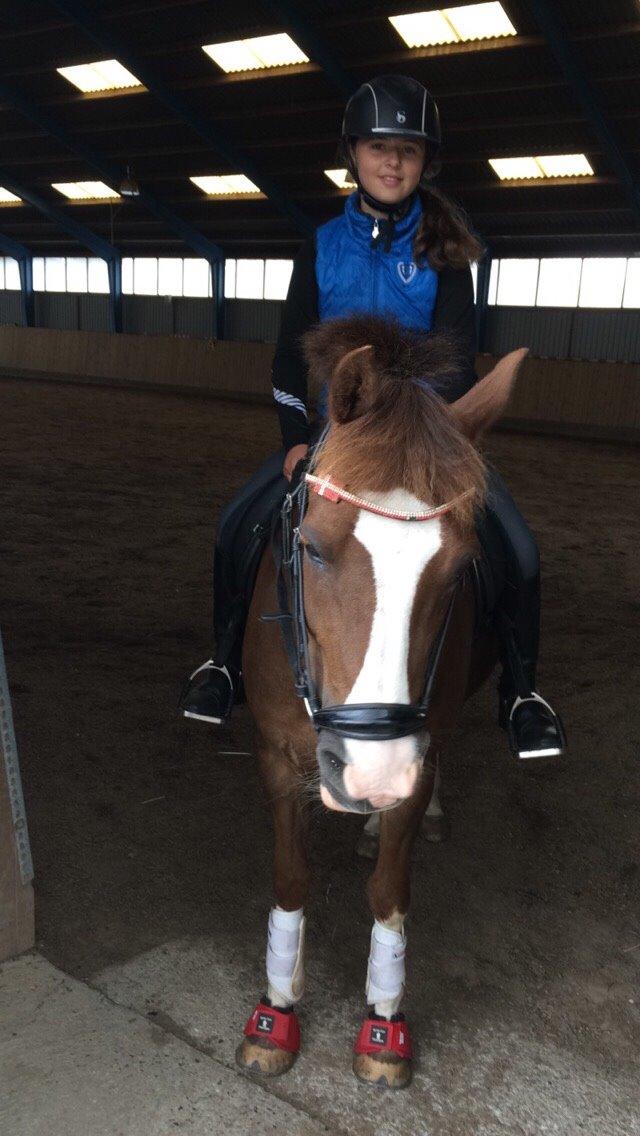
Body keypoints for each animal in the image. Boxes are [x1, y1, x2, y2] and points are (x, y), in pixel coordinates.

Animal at [236, 315, 528, 1088]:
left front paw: (384, 1024)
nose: (373, 774)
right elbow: (290, 878)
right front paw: (276, 1014)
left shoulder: (413, 765)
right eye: (311, 548)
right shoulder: (275, 755)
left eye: (460, 569)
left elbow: (390, 891)